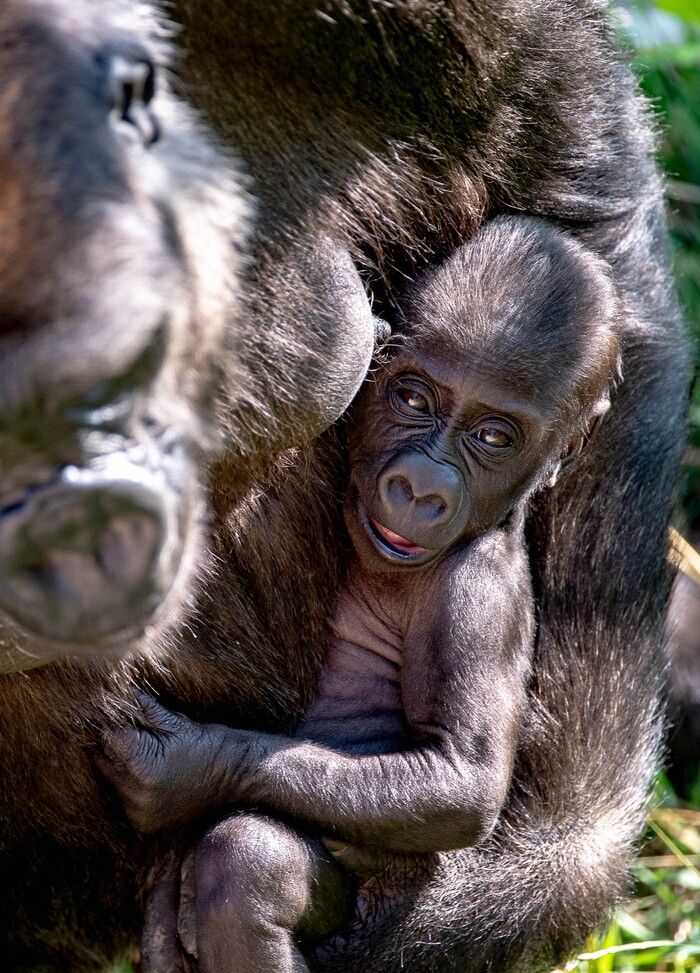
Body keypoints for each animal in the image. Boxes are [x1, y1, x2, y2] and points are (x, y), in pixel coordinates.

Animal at [101, 216, 622, 973]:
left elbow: (458, 780)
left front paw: (186, 768)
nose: (420, 487)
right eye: (413, 397)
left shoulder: (475, 600)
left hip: (391, 911)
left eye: (493, 436)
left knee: (251, 866)